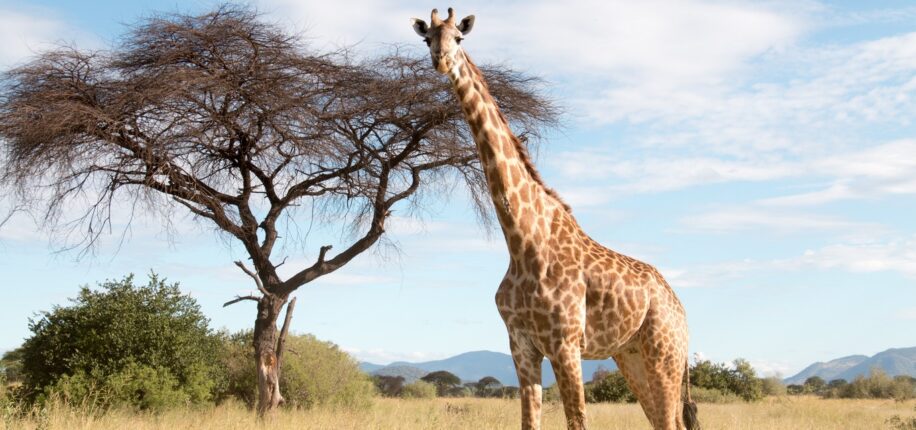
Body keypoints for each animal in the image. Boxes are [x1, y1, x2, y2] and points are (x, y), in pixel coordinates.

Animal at [416, 7, 700, 430]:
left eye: (459, 38)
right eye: (427, 38)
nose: (441, 60)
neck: (521, 240)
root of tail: (680, 309)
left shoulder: (565, 344)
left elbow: (578, 420)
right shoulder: (521, 345)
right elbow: (529, 422)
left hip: (664, 354)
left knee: (669, 421)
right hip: (630, 354)